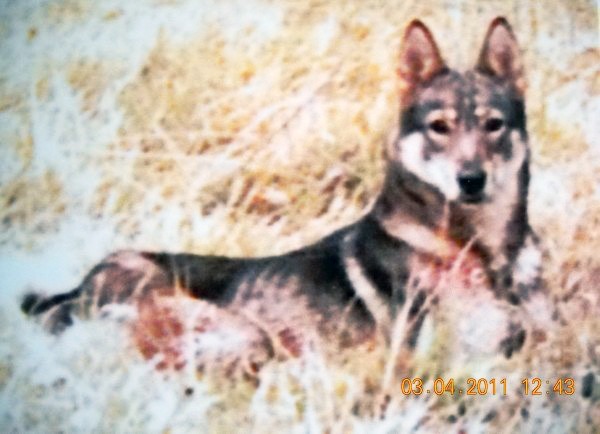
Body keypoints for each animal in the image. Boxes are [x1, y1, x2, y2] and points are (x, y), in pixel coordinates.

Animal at [21, 17, 542, 358]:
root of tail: (78, 286)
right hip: (241, 335)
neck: (484, 253)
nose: (470, 179)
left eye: (494, 125)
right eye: (439, 127)